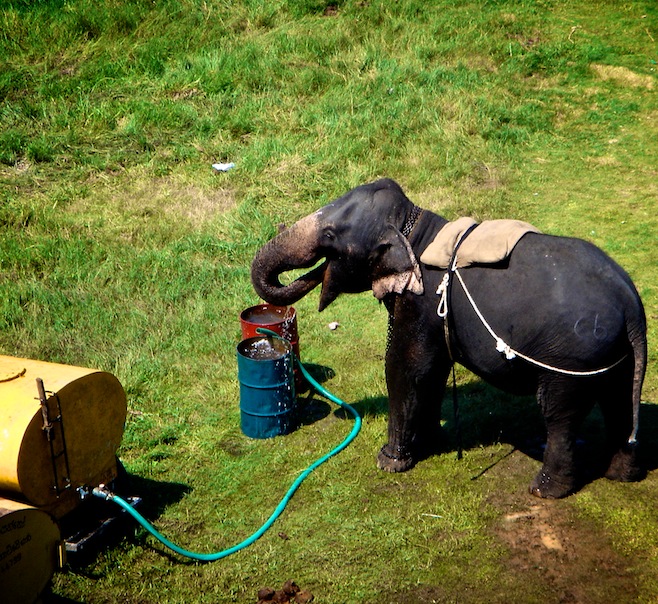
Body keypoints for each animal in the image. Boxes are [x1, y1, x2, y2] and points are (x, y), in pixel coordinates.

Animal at [250, 178, 648, 498]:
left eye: (331, 236)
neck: (415, 226)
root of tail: (631, 305)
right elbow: (433, 370)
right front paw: (427, 444)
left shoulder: (419, 302)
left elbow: (406, 368)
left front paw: (389, 462)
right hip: (614, 355)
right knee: (618, 399)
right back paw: (621, 475)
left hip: (572, 356)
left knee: (560, 413)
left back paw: (545, 490)